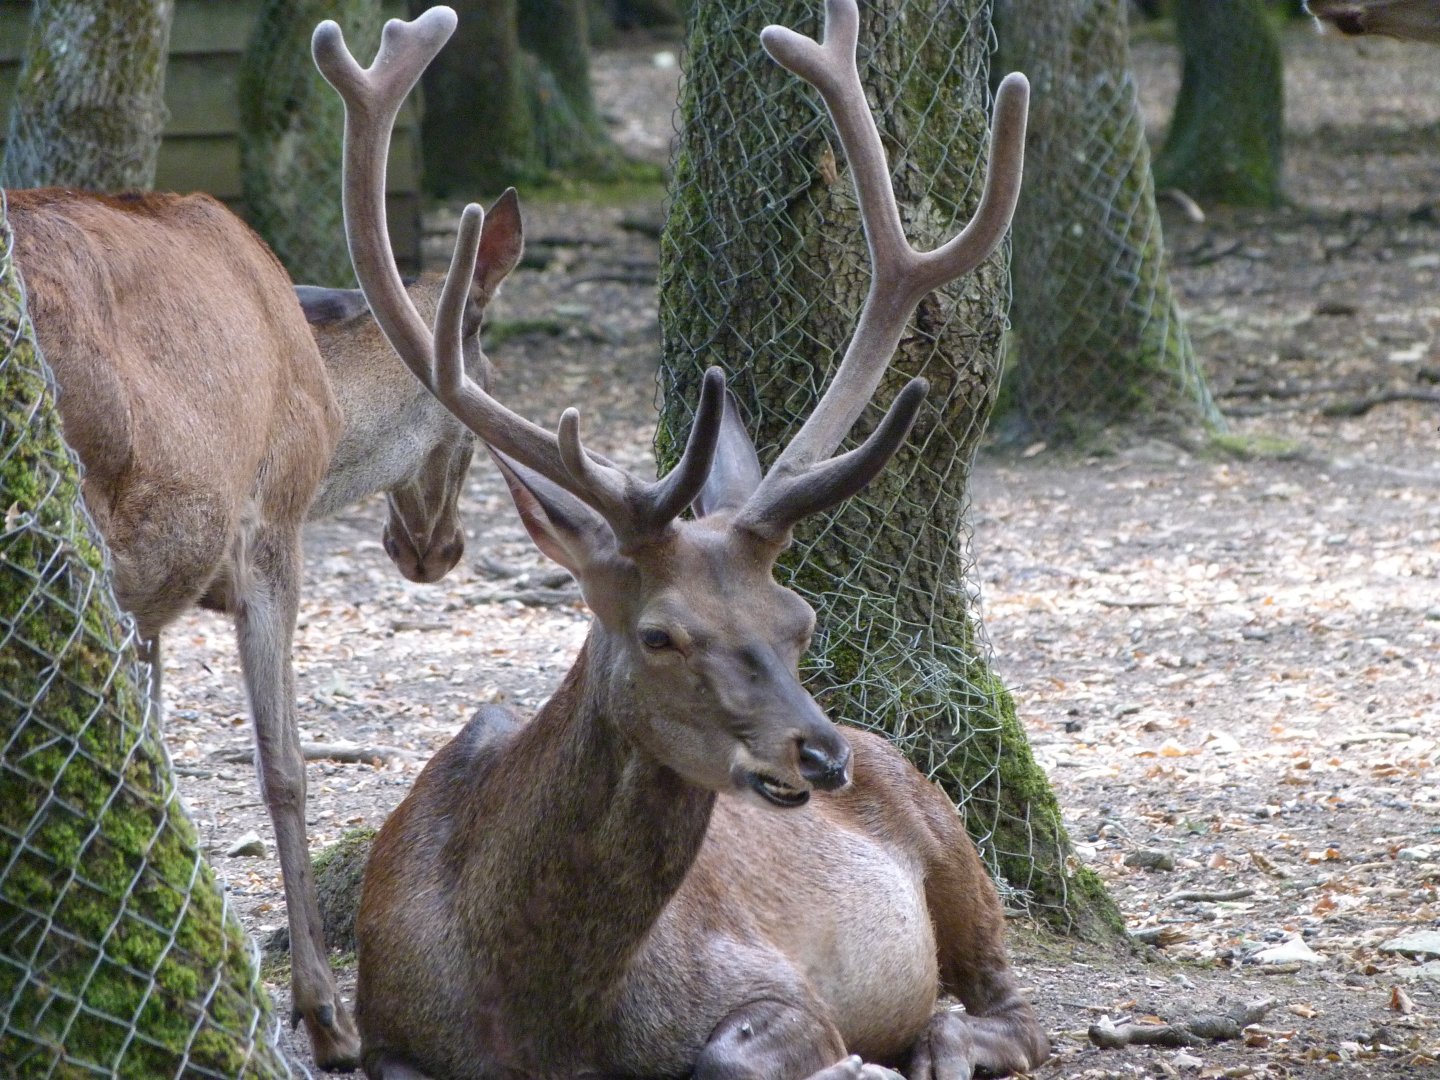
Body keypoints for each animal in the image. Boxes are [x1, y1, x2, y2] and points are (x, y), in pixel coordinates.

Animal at [5, 181, 522, 1071]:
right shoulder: (269, 527)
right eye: (480, 395)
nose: (434, 550)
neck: (328, 407)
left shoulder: (157, 597)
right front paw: (327, 1017)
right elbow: (283, 767)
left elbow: (156, 742)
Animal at [314, 3, 1049, 1078]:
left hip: (950, 841)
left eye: (799, 619)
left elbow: (731, 1054)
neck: (536, 1007)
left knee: (1013, 1009)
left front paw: (855, 1059)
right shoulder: (388, 1030)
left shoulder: (776, 982)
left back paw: (935, 1039)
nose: (820, 755)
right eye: (660, 633)